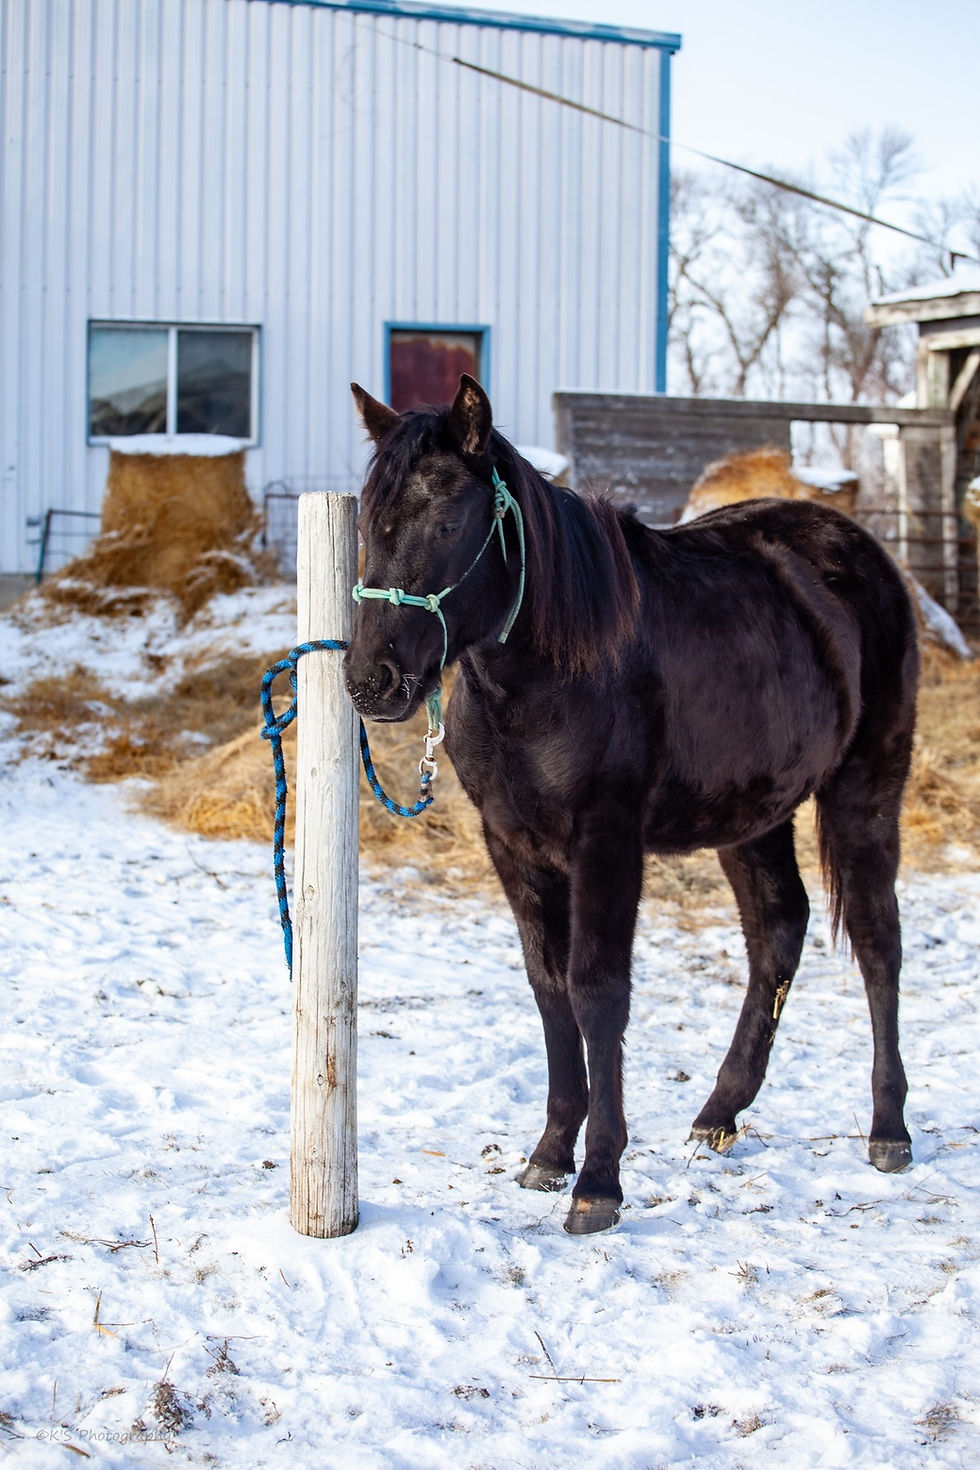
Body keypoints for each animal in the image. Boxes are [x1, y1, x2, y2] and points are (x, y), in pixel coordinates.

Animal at [343, 375, 920, 1235]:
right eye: (365, 522)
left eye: (446, 520)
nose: (369, 682)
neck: (547, 673)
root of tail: (861, 550)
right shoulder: (512, 844)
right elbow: (548, 989)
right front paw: (551, 1152)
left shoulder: (604, 843)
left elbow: (597, 993)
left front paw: (599, 1182)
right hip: (754, 815)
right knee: (779, 930)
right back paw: (718, 1112)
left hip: (866, 790)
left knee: (878, 943)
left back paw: (889, 1129)